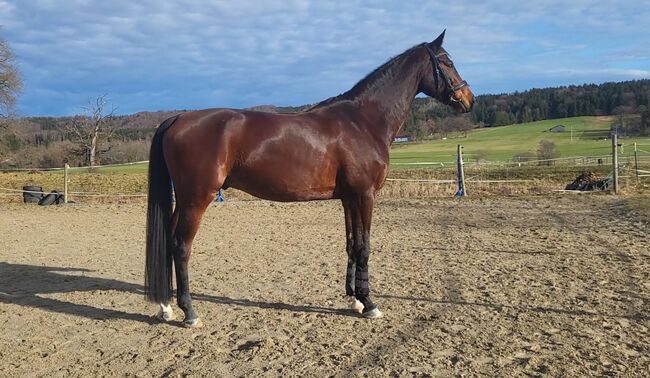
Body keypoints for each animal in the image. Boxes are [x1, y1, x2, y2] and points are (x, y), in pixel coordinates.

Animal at [146, 31, 470, 328]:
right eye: (448, 62)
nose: (468, 98)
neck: (363, 120)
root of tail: (177, 119)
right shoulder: (365, 195)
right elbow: (365, 247)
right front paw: (369, 304)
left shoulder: (349, 198)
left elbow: (352, 244)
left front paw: (354, 299)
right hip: (197, 199)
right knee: (180, 247)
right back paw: (189, 312)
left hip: (184, 200)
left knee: (168, 241)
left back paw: (166, 306)